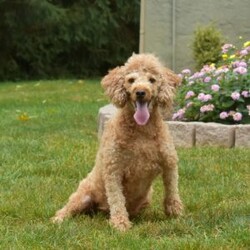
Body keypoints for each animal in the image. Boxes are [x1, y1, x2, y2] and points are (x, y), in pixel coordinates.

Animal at [51, 53, 183, 231]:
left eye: (152, 80)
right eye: (131, 80)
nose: (140, 92)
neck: (142, 132)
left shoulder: (169, 163)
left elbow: (172, 191)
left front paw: (176, 215)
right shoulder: (114, 169)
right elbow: (116, 199)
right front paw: (120, 224)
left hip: (146, 198)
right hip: (82, 195)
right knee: (66, 209)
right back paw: (58, 220)